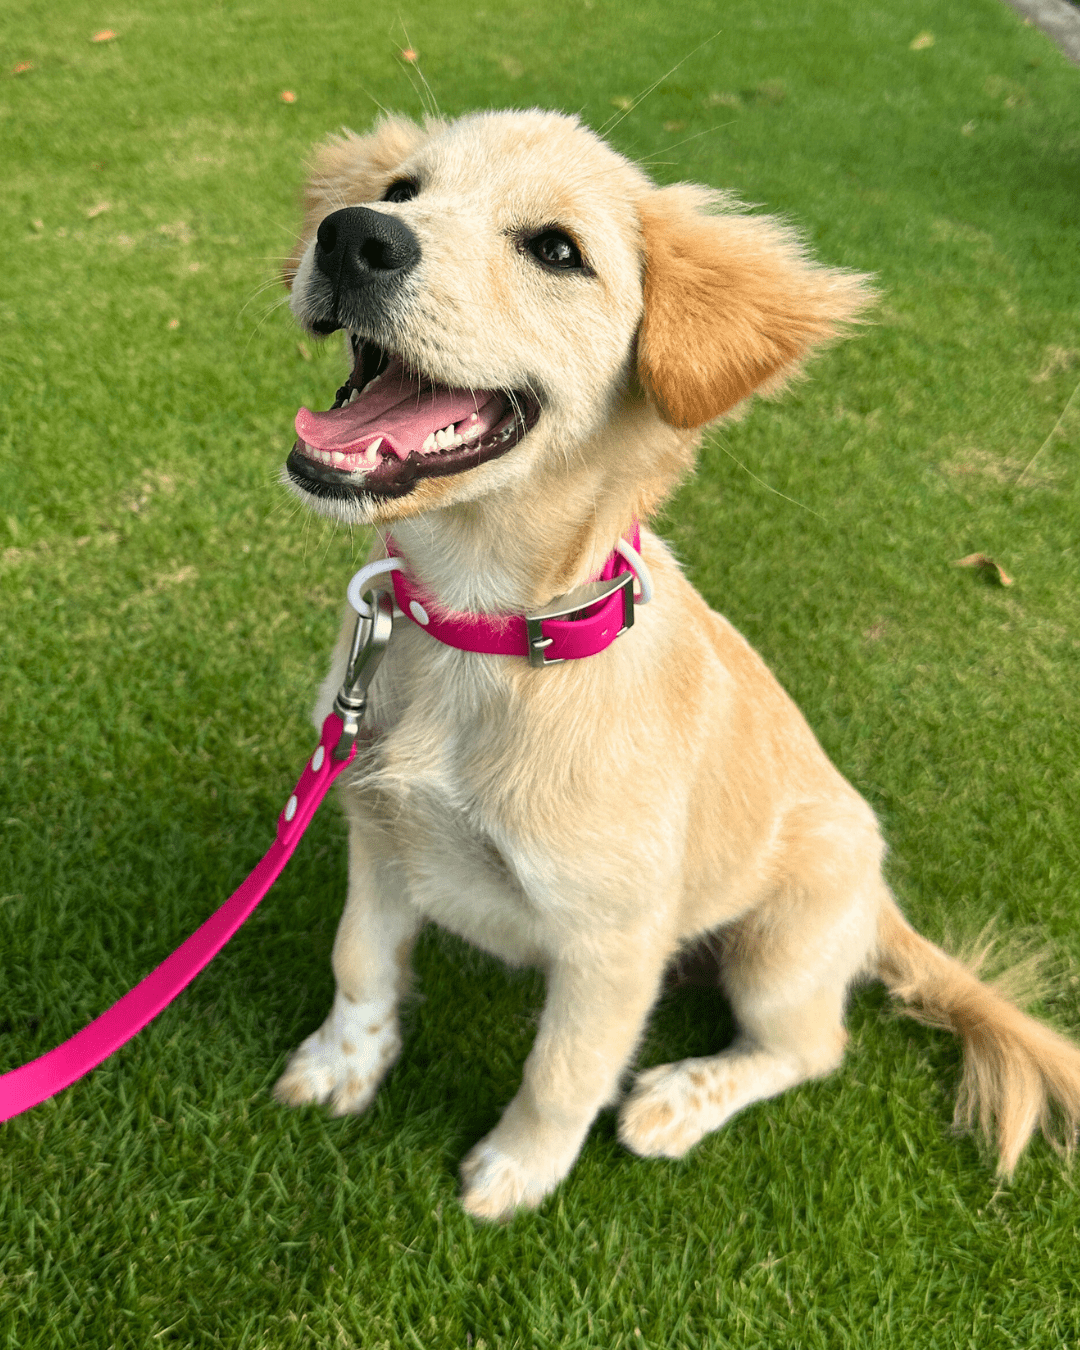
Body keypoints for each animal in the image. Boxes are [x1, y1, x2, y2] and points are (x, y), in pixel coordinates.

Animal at [272, 109, 1080, 1220]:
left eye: (556, 250)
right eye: (400, 191)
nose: (353, 236)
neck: (487, 637)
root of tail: (881, 902)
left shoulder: (612, 943)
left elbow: (564, 1068)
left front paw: (518, 1171)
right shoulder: (380, 830)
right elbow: (359, 962)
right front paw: (342, 1063)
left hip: (782, 942)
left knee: (812, 1046)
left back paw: (681, 1100)